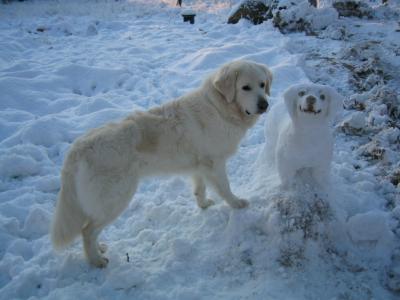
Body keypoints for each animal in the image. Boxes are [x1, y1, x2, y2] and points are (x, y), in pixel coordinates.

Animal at [50, 59, 272, 268]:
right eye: (245, 87)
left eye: (262, 84)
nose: (264, 105)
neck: (219, 107)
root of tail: (78, 148)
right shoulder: (215, 164)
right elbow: (225, 189)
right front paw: (238, 204)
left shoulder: (199, 165)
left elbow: (199, 189)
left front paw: (203, 205)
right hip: (116, 198)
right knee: (87, 231)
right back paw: (96, 261)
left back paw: (100, 249)